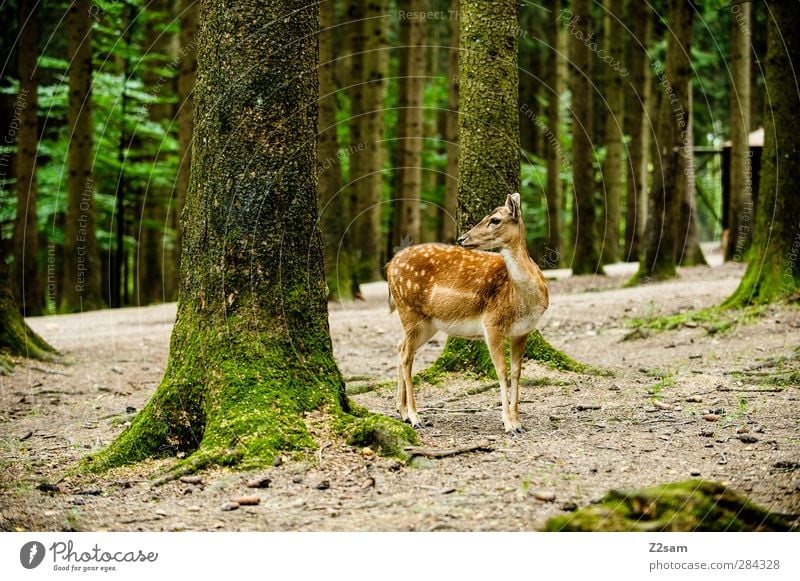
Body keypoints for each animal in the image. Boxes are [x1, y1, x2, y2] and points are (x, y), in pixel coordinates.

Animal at [388, 193, 552, 432]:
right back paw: (415, 417)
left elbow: (516, 372)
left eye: (494, 220)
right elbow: (501, 371)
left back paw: (402, 412)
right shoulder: (491, 323)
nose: (462, 238)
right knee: (407, 357)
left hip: (428, 323)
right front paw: (508, 424)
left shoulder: (522, 331)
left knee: (400, 348)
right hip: (409, 310)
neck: (521, 300)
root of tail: (389, 266)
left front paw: (519, 422)